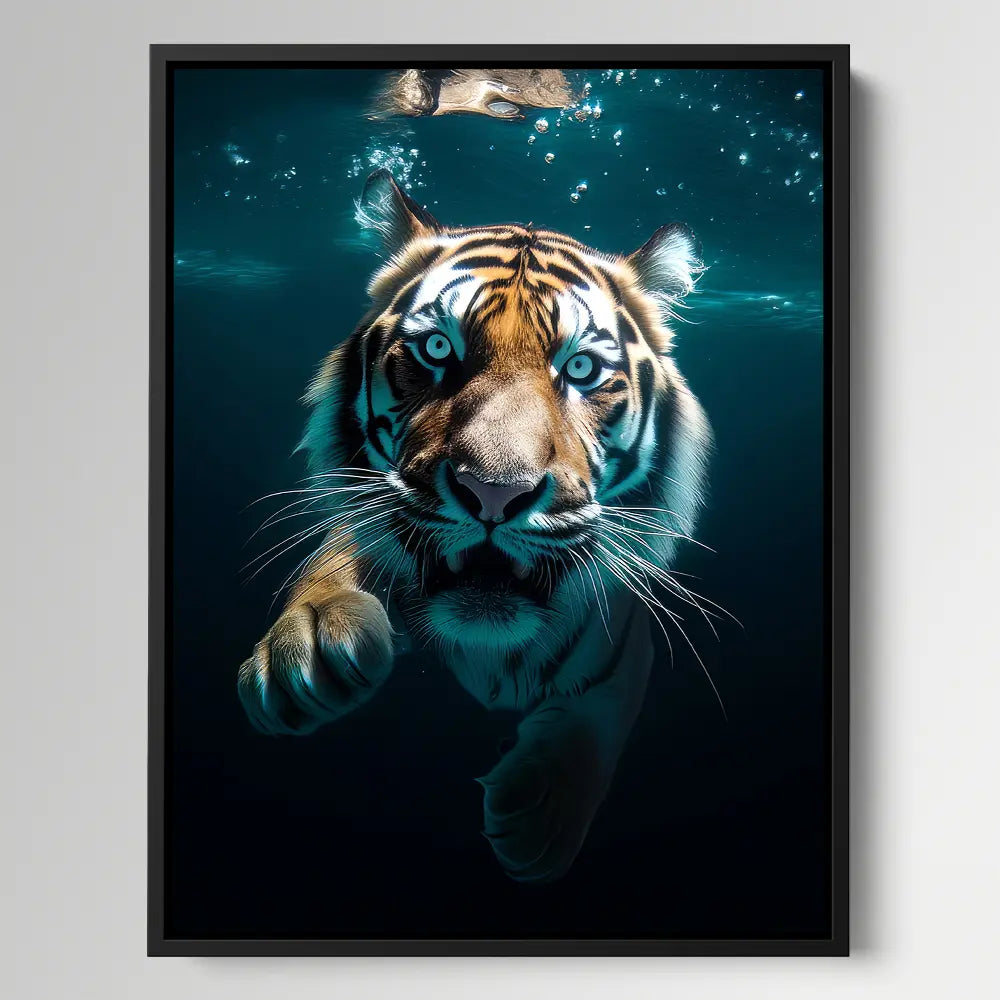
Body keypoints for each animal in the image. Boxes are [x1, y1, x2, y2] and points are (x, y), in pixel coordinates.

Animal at [237, 168, 713, 883]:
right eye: (438, 349)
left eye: (580, 369)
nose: (494, 491)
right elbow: (339, 555)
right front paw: (306, 647)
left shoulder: (622, 640)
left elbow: (602, 711)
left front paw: (542, 813)